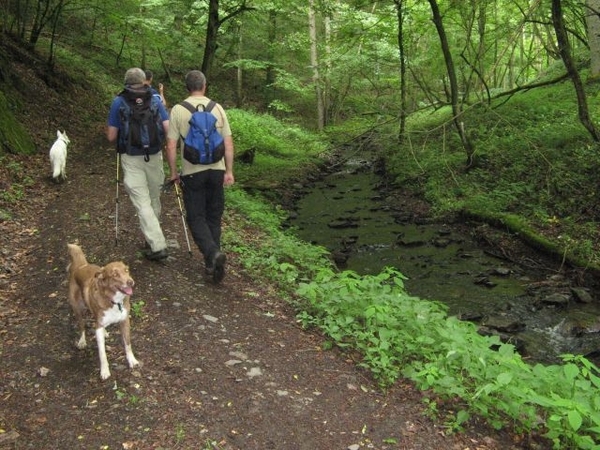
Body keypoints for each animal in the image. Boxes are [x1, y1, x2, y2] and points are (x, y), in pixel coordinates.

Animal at [67, 244, 139, 378]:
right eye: (115, 274)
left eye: (126, 270)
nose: (131, 282)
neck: (114, 301)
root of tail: (81, 266)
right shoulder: (98, 327)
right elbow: (102, 353)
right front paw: (105, 371)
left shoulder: (125, 321)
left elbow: (128, 344)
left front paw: (132, 361)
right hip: (78, 308)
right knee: (82, 325)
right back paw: (82, 341)